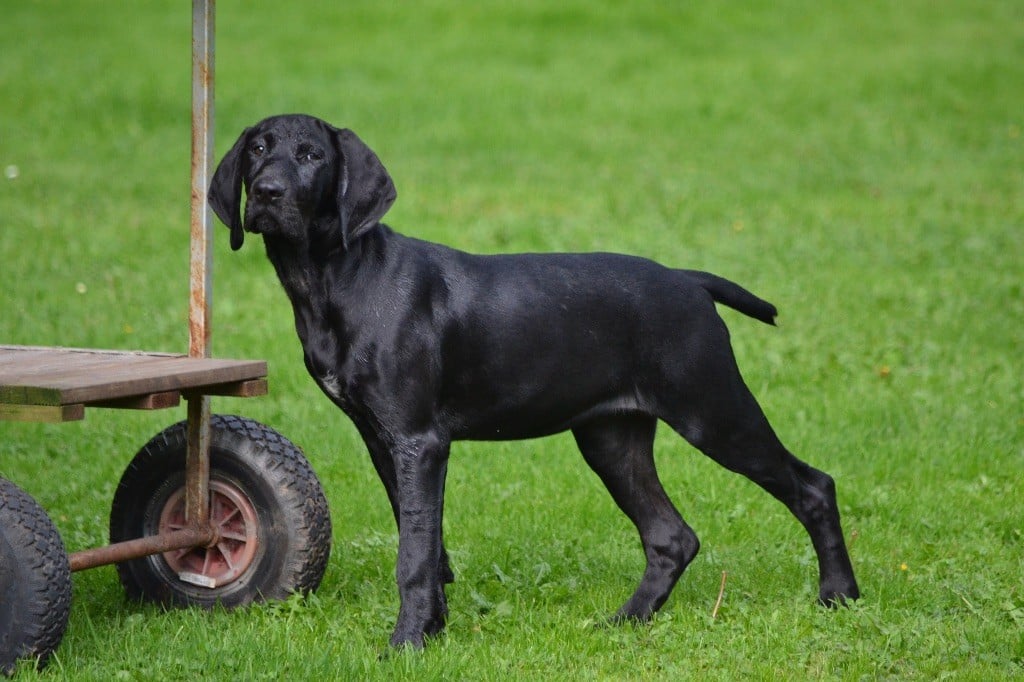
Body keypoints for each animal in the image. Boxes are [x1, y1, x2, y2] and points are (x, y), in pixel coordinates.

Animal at [211, 114, 860, 647]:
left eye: (311, 155)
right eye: (258, 149)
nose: (266, 193)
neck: (337, 275)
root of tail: (688, 280)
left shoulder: (420, 442)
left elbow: (414, 554)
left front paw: (408, 642)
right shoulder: (383, 443)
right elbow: (428, 543)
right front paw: (435, 629)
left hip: (712, 410)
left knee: (813, 486)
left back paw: (840, 596)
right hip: (612, 439)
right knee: (672, 536)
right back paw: (627, 620)